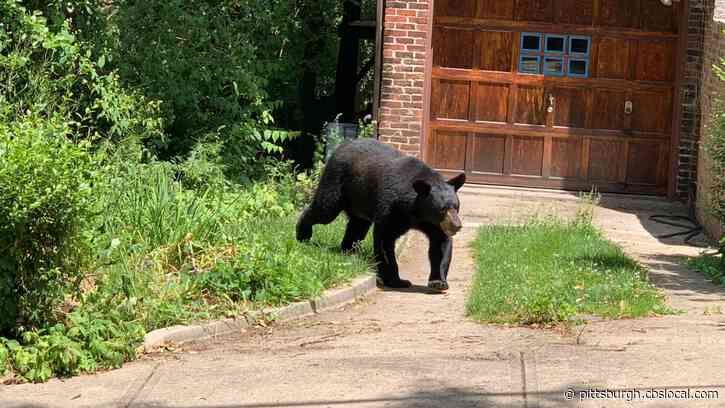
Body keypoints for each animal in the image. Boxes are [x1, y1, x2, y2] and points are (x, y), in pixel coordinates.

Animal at [296, 138, 465, 291]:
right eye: (442, 209)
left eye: (456, 207)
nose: (457, 225)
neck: (416, 212)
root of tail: (342, 145)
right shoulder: (392, 208)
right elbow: (385, 239)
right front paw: (396, 280)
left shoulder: (434, 223)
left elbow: (440, 244)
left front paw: (438, 282)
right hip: (337, 182)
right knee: (325, 209)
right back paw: (303, 234)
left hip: (359, 200)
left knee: (357, 226)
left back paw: (348, 251)